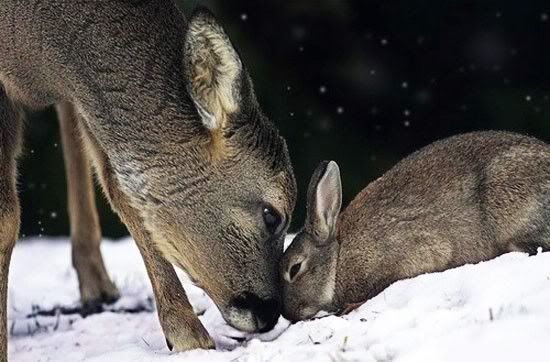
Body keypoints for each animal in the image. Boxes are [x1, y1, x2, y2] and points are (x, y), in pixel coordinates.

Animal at [0, 0, 298, 358]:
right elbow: (7, 218)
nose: (269, 312)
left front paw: (187, 335)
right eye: (272, 215)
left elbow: (122, 190)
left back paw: (97, 285)